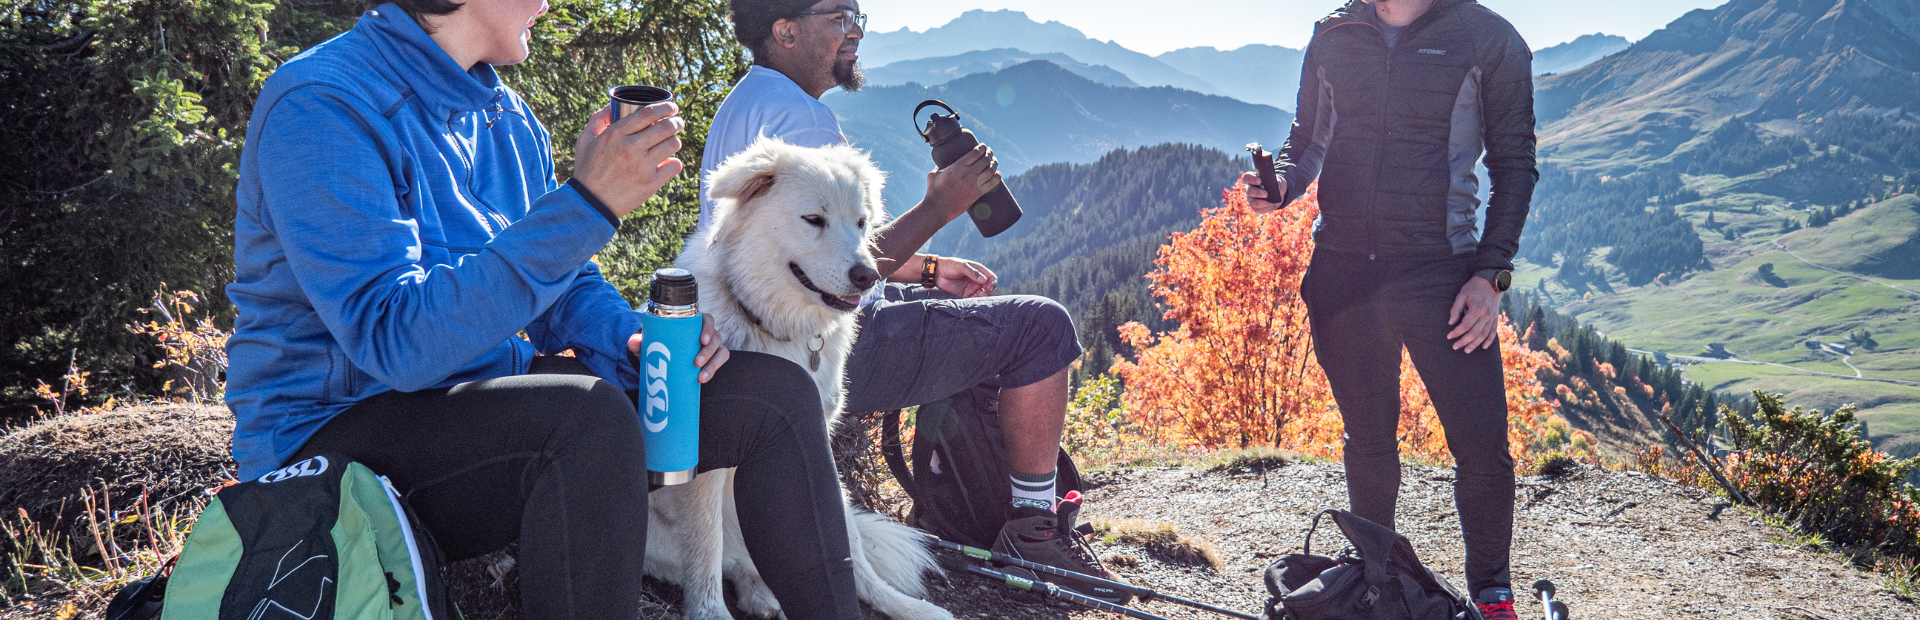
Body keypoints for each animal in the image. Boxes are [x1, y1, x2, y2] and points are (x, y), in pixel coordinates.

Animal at [645, 137, 952, 620]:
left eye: (861, 223)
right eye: (814, 219)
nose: (868, 276)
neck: (775, 326)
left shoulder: (813, 433)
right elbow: (706, 545)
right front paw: (709, 612)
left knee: (852, 557)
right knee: (728, 558)